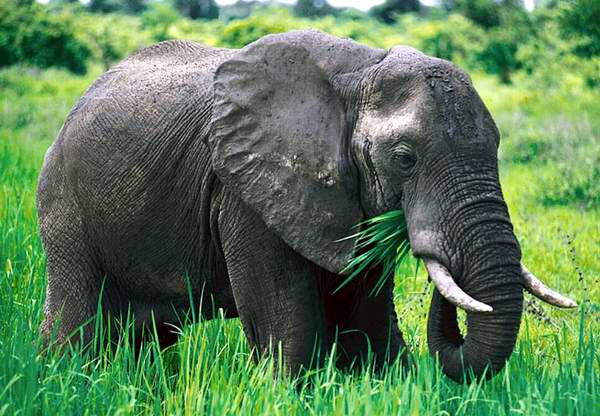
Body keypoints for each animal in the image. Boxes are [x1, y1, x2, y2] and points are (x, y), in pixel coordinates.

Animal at [38, 28, 576, 380]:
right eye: (404, 159)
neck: (360, 73)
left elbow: (364, 305)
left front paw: (388, 383)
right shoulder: (246, 189)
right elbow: (284, 313)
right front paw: (288, 392)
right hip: (65, 206)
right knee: (75, 321)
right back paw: (61, 379)